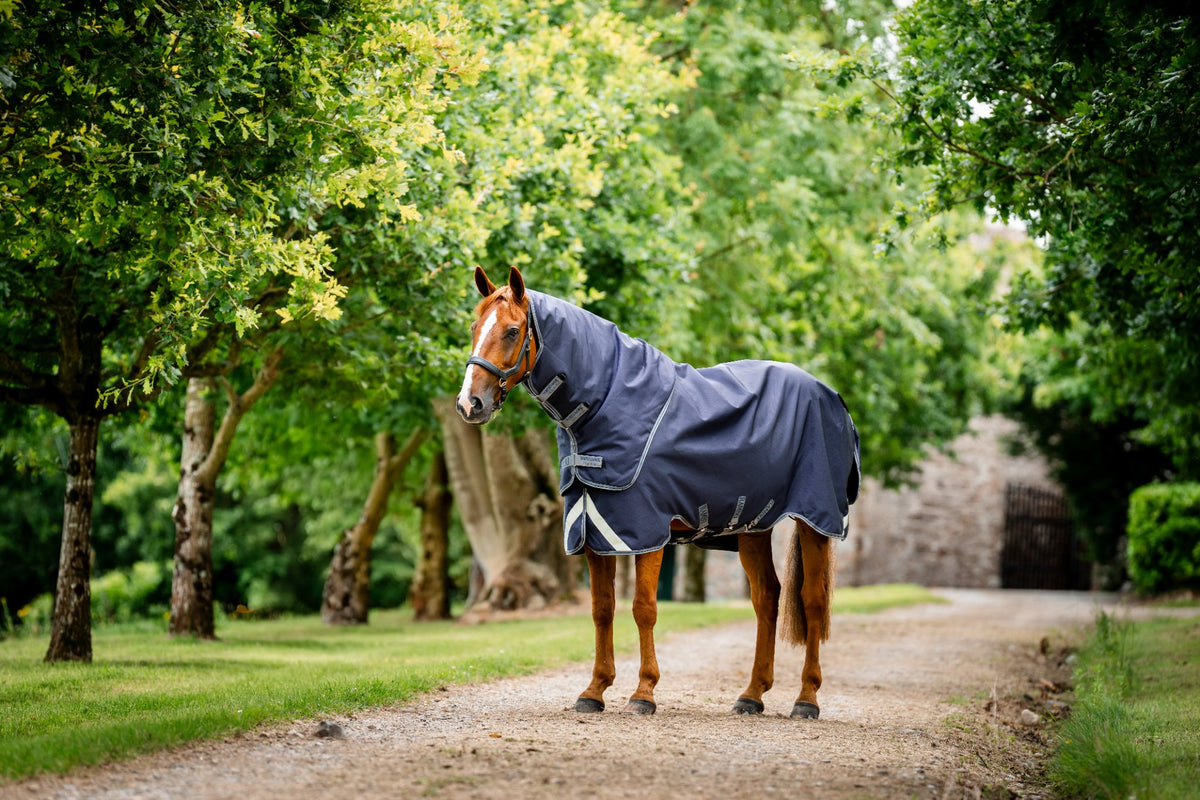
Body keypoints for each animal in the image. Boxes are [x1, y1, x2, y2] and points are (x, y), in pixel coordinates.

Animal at [456, 266, 860, 719]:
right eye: (474, 327)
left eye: (512, 331)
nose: (470, 403)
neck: (606, 406)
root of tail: (832, 397)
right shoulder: (594, 529)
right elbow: (602, 608)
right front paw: (594, 690)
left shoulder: (645, 529)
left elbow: (643, 608)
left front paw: (643, 692)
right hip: (754, 528)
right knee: (766, 598)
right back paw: (751, 695)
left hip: (815, 520)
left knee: (812, 600)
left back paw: (806, 699)